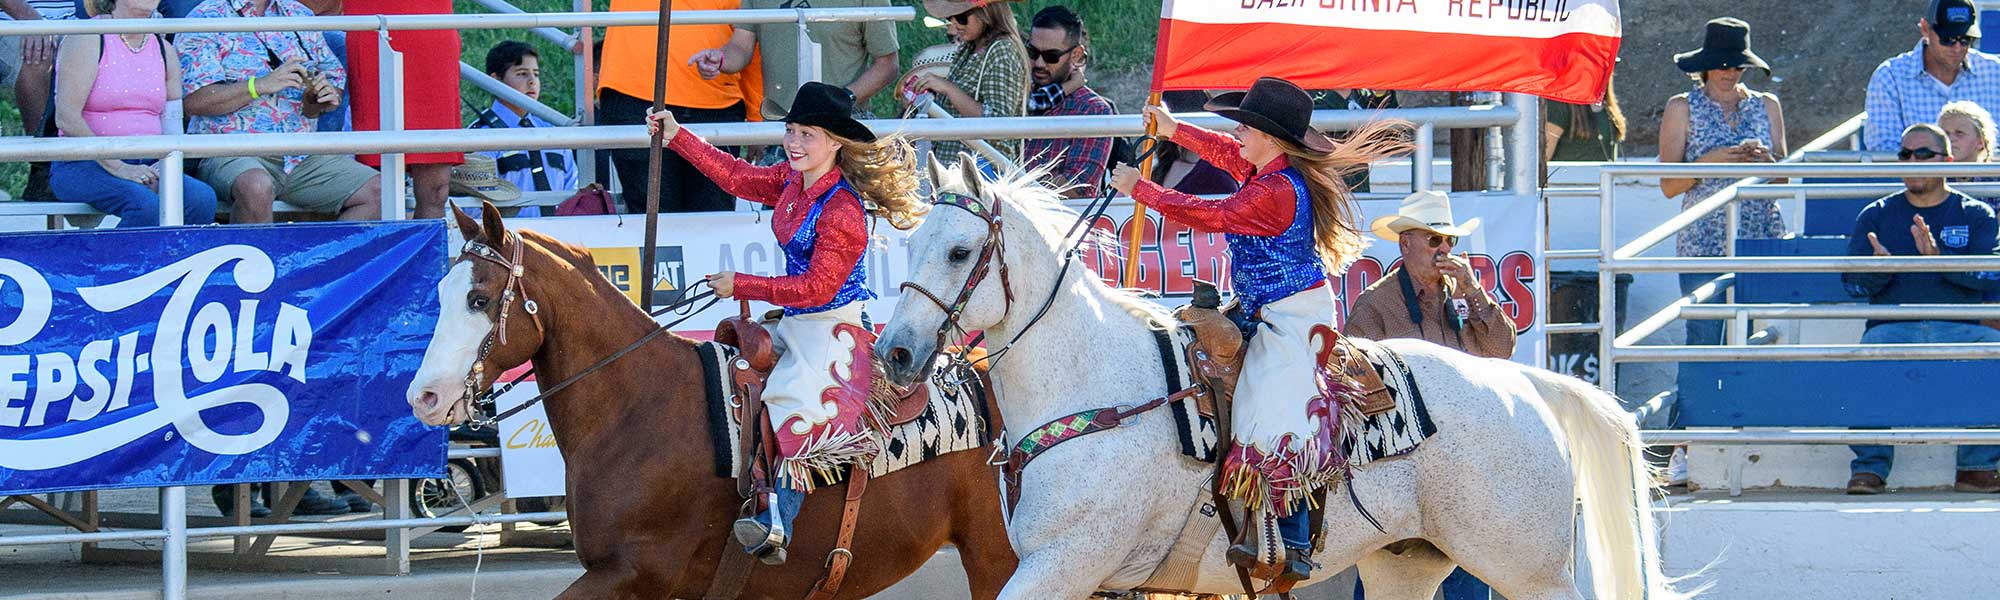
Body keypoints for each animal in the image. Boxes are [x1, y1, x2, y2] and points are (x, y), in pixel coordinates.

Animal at [400, 205, 1016, 596]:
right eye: (441, 293)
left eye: (480, 299)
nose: (423, 396)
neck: (635, 407)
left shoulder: (635, 572)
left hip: (998, 558)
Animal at [876, 162, 1688, 600]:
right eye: (909, 245)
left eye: (959, 251)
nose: (895, 354)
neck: (1095, 388)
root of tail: (1526, 386)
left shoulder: (1065, 563)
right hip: (1407, 566)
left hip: (1532, 570)